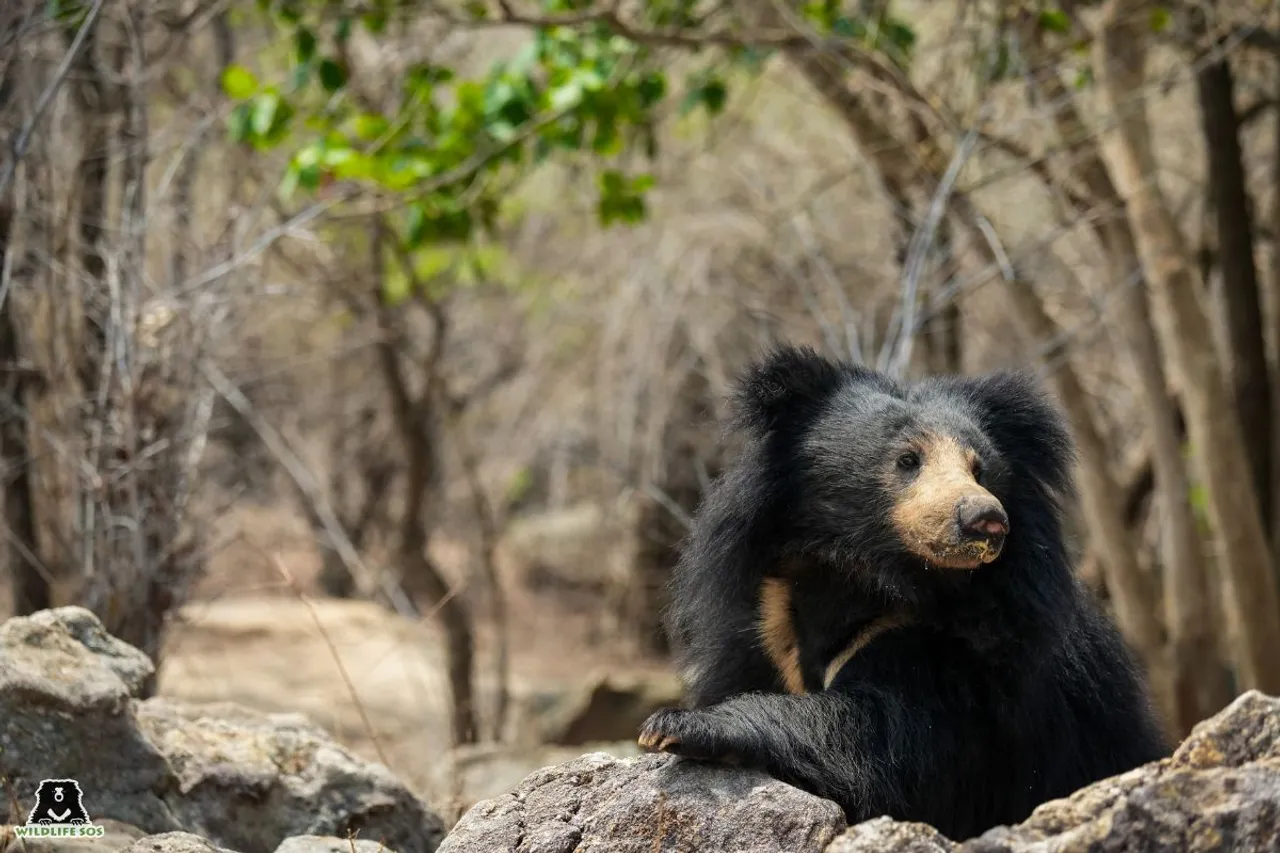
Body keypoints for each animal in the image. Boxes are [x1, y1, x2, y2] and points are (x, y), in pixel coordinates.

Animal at [640, 343, 1172, 835]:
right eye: (907, 459)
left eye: (980, 469)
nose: (986, 519)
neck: (863, 574)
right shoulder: (764, 627)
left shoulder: (965, 656)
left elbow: (881, 743)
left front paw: (676, 727)